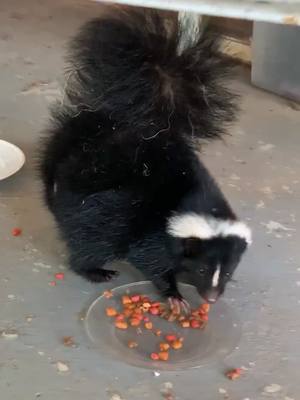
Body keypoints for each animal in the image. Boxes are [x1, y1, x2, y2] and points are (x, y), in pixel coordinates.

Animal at [39, 7, 251, 310]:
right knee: (89, 242)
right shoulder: (150, 229)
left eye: (229, 271)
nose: (211, 296)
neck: (191, 202)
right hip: (96, 212)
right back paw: (96, 271)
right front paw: (174, 294)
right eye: (202, 269)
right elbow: (150, 259)